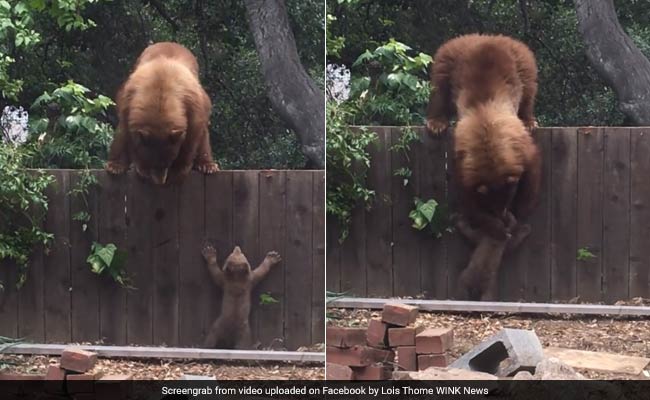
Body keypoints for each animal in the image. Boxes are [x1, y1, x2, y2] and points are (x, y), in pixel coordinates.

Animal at [105, 41, 218, 185]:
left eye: (169, 162)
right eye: (152, 162)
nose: (160, 182)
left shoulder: (193, 105)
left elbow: (192, 137)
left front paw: (179, 170)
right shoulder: (129, 103)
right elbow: (128, 136)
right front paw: (140, 168)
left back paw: (208, 165)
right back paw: (114, 166)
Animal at [428, 34, 540, 239]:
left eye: (507, 199)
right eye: (492, 205)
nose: (501, 214)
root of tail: (488, 36)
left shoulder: (520, 146)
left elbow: (532, 172)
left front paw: (520, 212)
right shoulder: (464, 159)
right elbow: (466, 195)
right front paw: (493, 224)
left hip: (522, 60)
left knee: (528, 90)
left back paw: (530, 120)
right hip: (448, 59)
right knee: (439, 88)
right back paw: (436, 124)